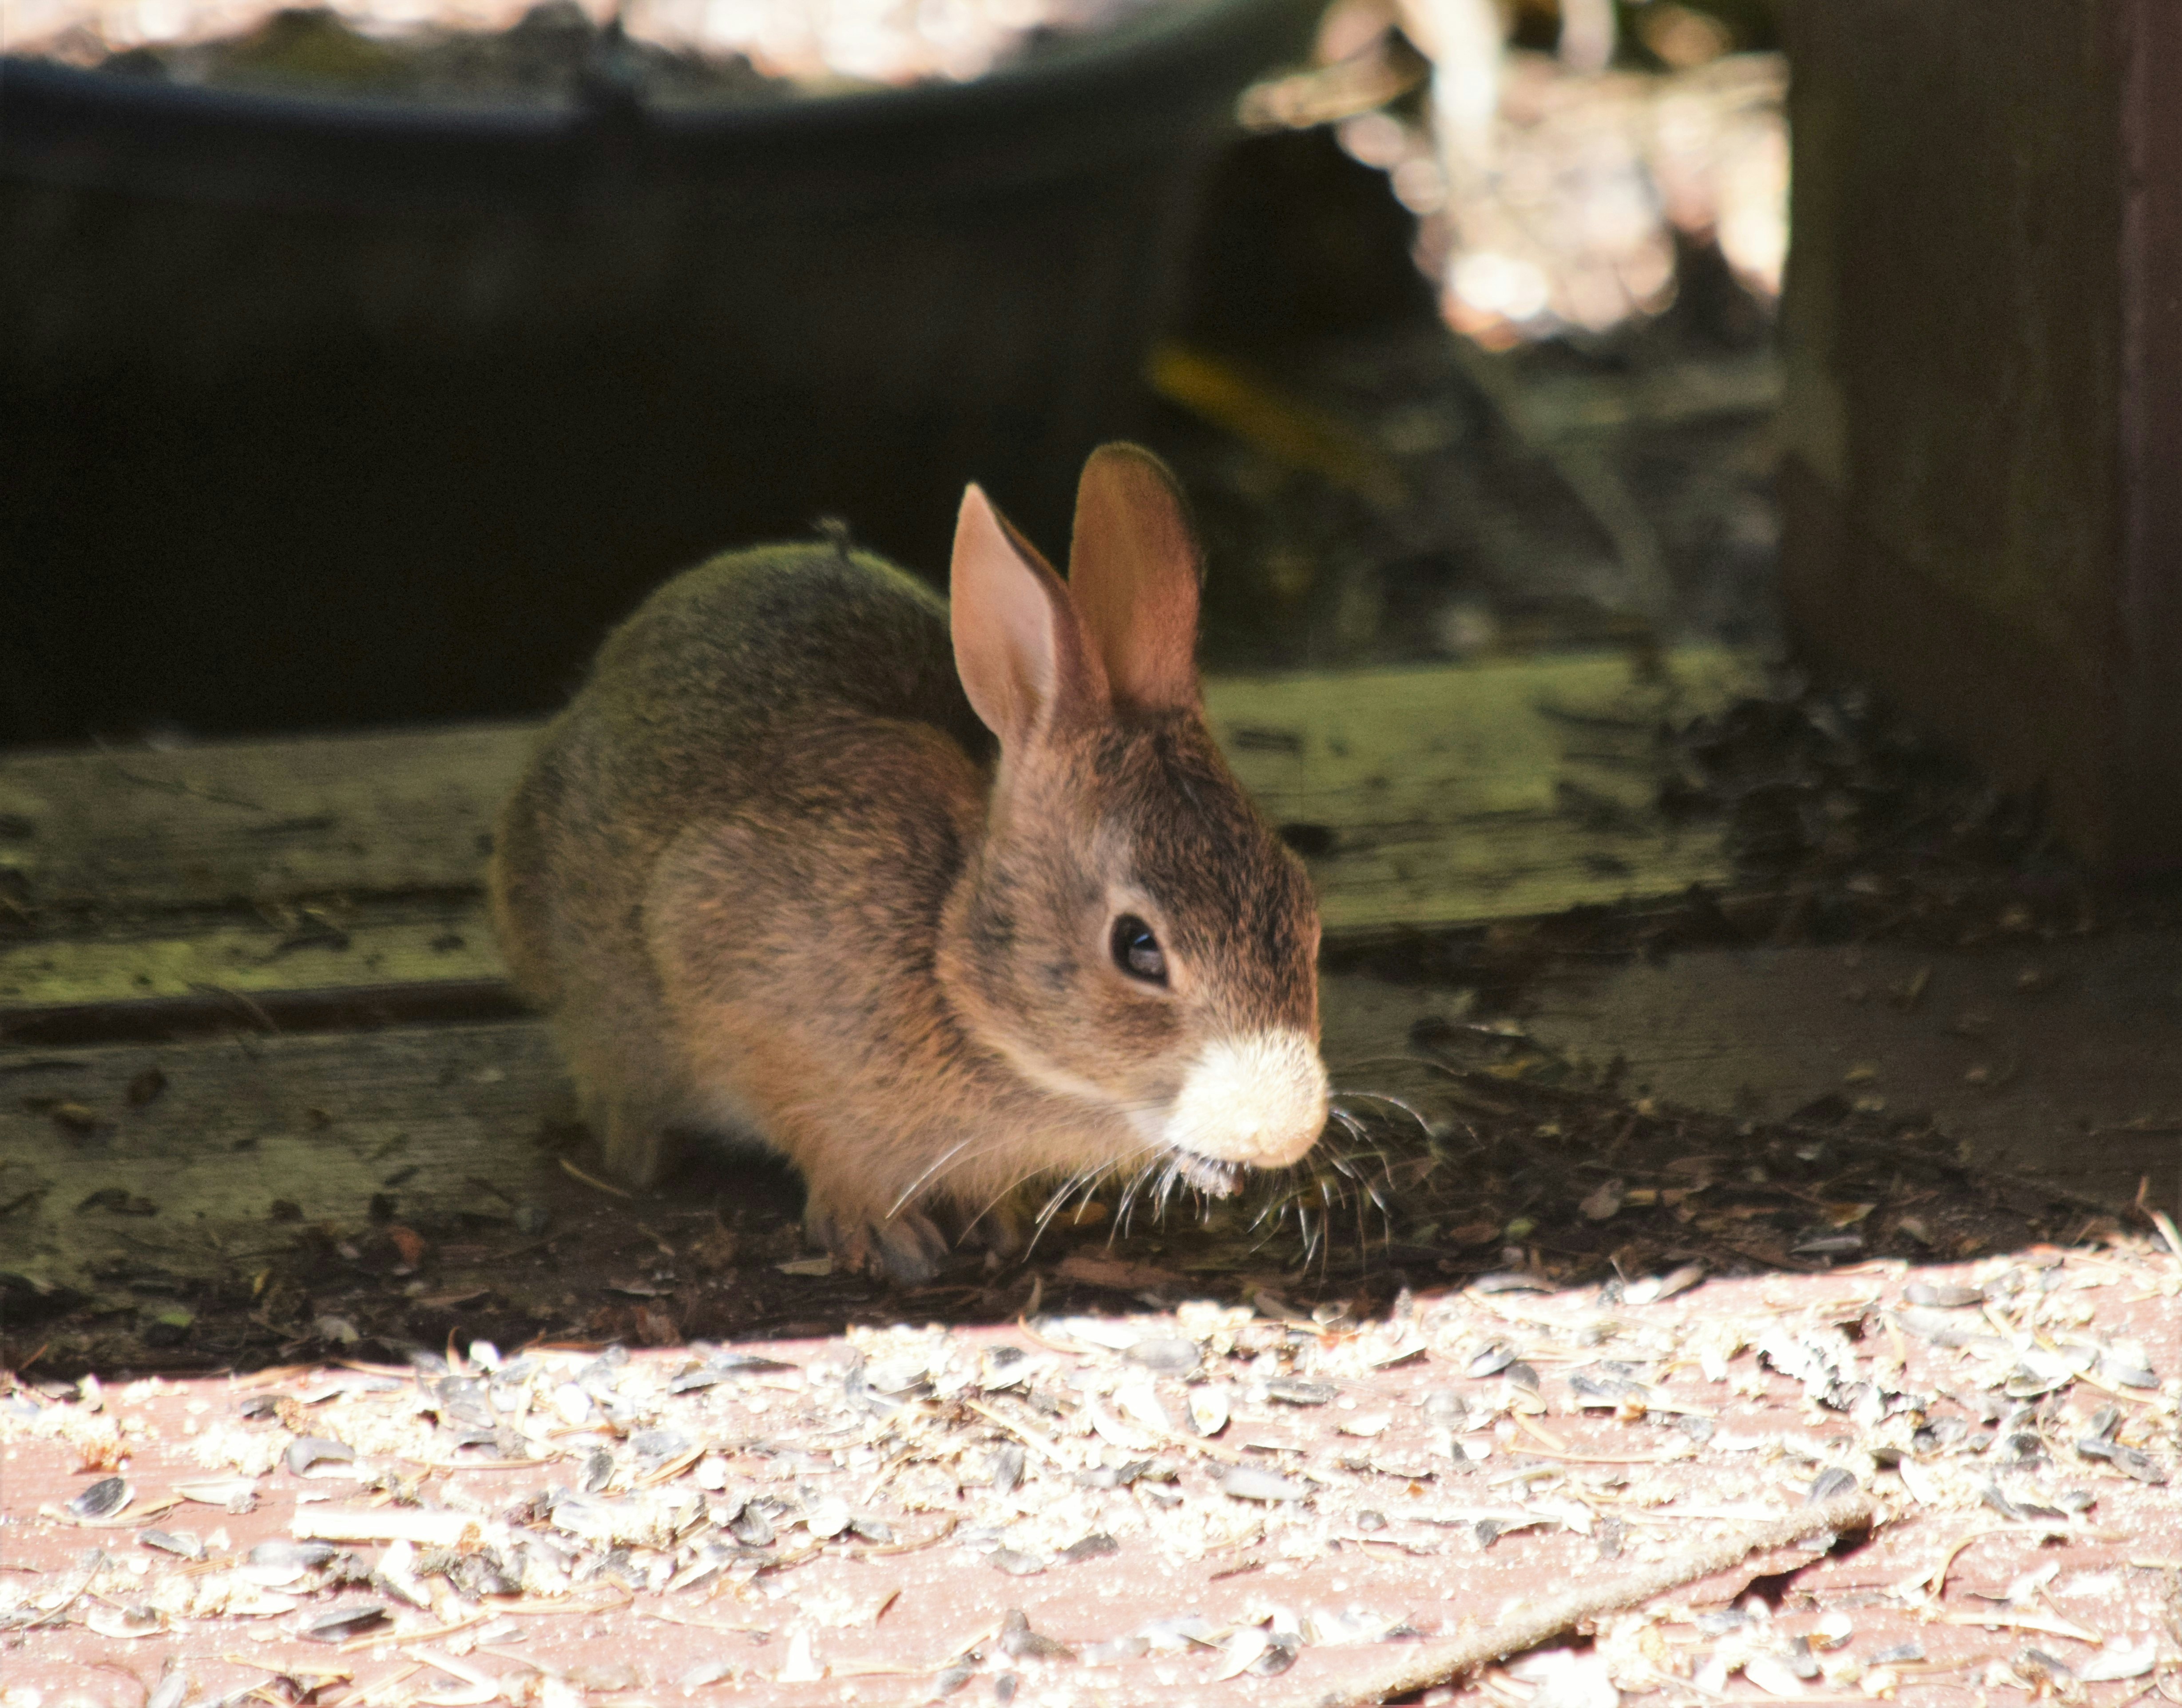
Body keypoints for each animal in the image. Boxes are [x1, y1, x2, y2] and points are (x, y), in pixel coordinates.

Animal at [489, 443, 1329, 1283]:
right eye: (1138, 947)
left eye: (1304, 914)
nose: (1284, 1130)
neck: (950, 965)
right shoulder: (724, 963)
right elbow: (821, 1142)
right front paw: (883, 1234)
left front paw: (990, 1217)